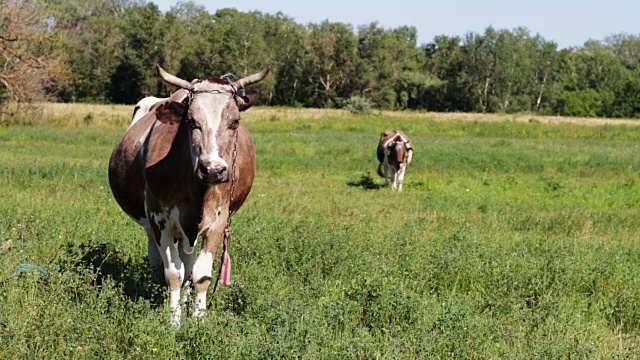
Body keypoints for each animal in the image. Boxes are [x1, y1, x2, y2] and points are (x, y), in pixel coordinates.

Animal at [109, 64, 268, 326]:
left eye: (235, 122)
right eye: (192, 121)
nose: (212, 169)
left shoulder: (218, 221)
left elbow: (200, 275)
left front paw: (198, 319)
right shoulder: (159, 219)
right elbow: (173, 273)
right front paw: (174, 321)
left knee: (188, 264)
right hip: (150, 225)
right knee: (157, 260)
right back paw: (156, 293)